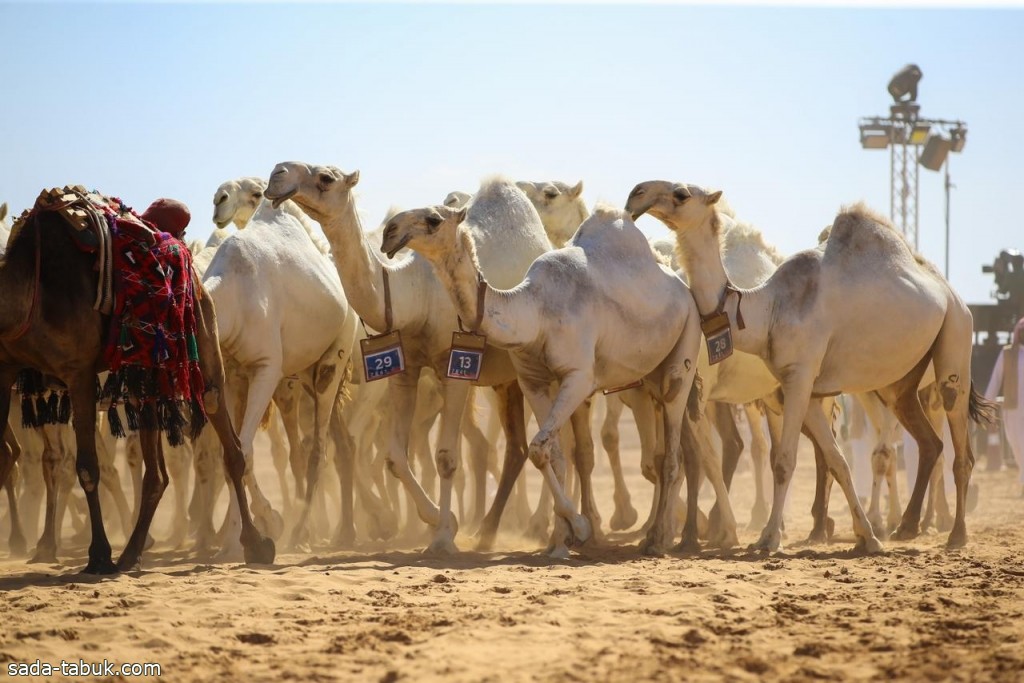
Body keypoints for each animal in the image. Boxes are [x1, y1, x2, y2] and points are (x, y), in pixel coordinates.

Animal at [0, 189, 276, 573]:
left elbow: (87, 466)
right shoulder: (6, 366)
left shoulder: (78, 372)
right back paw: (131, 552)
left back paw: (255, 545)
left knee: (226, 435)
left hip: (204, 343)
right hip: (147, 374)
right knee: (156, 471)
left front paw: (99, 554)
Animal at [268, 163, 548, 557]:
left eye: (325, 177)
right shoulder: (407, 368)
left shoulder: (455, 367)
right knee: (516, 448)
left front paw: (443, 536)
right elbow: (395, 457)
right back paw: (487, 532)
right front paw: (441, 522)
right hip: (505, 380)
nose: (277, 174)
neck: (416, 294)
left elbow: (446, 457)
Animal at [380, 201, 741, 557]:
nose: (388, 233)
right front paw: (561, 540)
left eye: (433, 219)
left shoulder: (579, 377)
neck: (534, 312)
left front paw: (580, 528)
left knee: (673, 447)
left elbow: (539, 450)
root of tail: (682, 286)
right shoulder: (533, 381)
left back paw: (658, 539)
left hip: (685, 348)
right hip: (648, 374)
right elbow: (552, 455)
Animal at [626, 180, 995, 548]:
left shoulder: (800, 377)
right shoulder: (807, 389)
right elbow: (837, 460)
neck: (768, 309)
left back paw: (955, 533)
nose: (635, 195)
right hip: (900, 384)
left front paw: (768, 538)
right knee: (930, 442)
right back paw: (905, 526)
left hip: (955, 341)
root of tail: (952, 295)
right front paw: (867, 537)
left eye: (681, 194)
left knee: (960, 449)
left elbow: (784, 460)